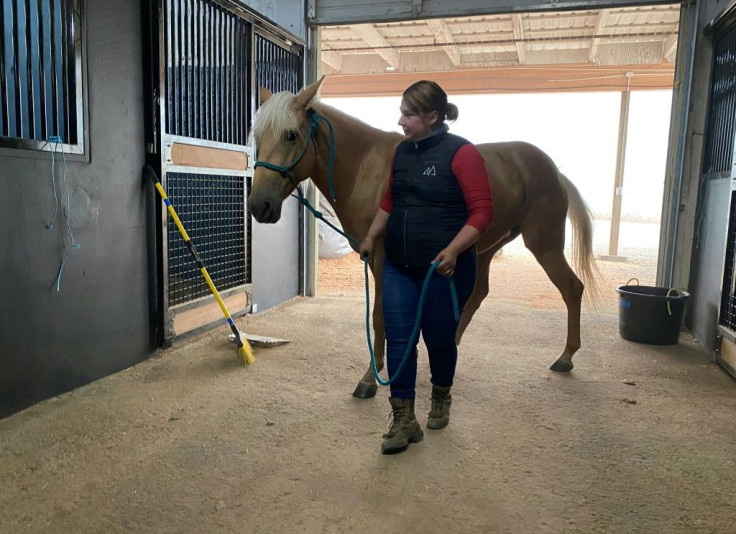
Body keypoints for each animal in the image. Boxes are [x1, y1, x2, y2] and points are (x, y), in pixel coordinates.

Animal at [247, 77, 600, 400]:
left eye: (291, 135)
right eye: (257, 137)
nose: (259, 205)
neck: (366, 168)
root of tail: (554, 170)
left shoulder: (381, 258)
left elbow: (380, 316)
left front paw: (370, 378)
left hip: (543, 244)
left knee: (571, 288)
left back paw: (566, 357)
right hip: (485, 247)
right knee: (478, 294)